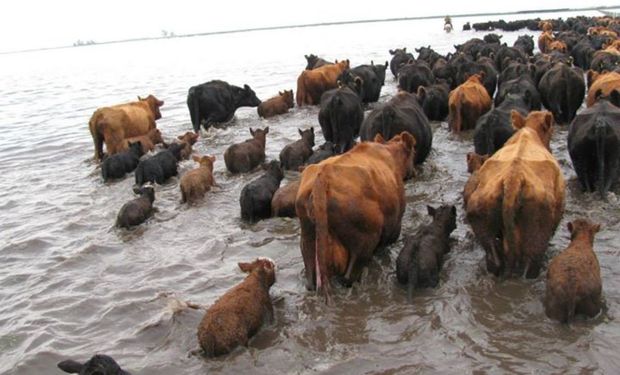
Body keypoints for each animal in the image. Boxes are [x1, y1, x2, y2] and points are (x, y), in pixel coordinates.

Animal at [296, 132, 416, 302]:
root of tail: (324, 175)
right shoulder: (393, 227)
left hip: (307, 238)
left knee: (311, 279)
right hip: (364, 241)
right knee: (348, 277)